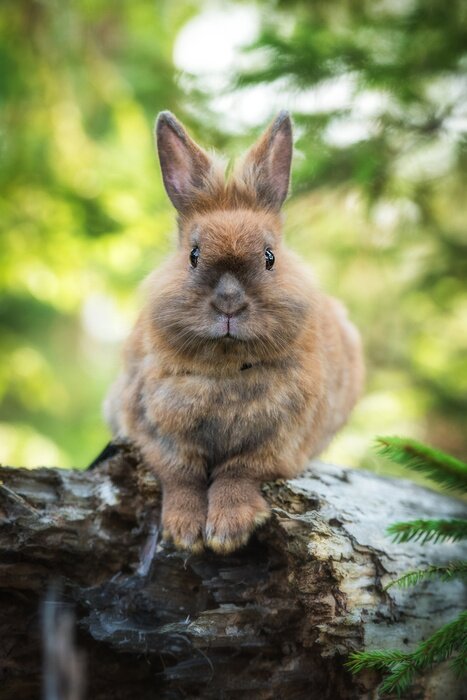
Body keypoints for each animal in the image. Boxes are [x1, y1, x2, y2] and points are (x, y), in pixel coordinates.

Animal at [104, 110, 364, 555]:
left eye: (269, 257)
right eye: (193, 256)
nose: (229, 303)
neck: (226, 368)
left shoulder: (278, 441)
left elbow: (238, 473)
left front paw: (228, 531)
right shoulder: (153, 428)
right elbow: (181, 477)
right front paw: (185, 531)